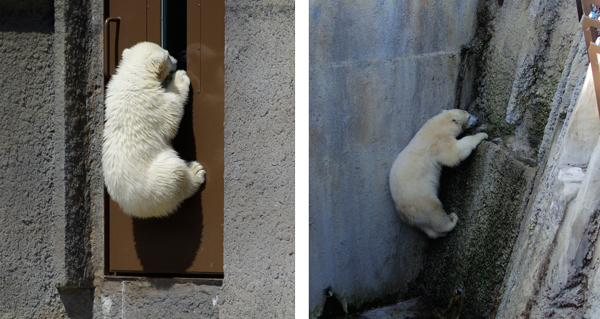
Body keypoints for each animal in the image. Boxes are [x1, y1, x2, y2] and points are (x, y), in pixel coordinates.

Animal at [102, 41, 205, 219]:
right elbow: (171, 111)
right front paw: (180, 77)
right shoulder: (151, 103)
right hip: (156, 178)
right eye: (168, 54)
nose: (177, 61)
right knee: (175, 176)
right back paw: (195, 172)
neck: (133, 78)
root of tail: (137, 209)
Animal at [390, 109, 488, 238]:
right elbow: (454, 153)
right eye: (469, 116)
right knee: (435, 212)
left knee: (426, 227)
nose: (477, 119)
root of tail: (401, 211)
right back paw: (452, 220)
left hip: (414, 215)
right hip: (421, 200)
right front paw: (483, 135)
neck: (439, 125)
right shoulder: (439, 143)